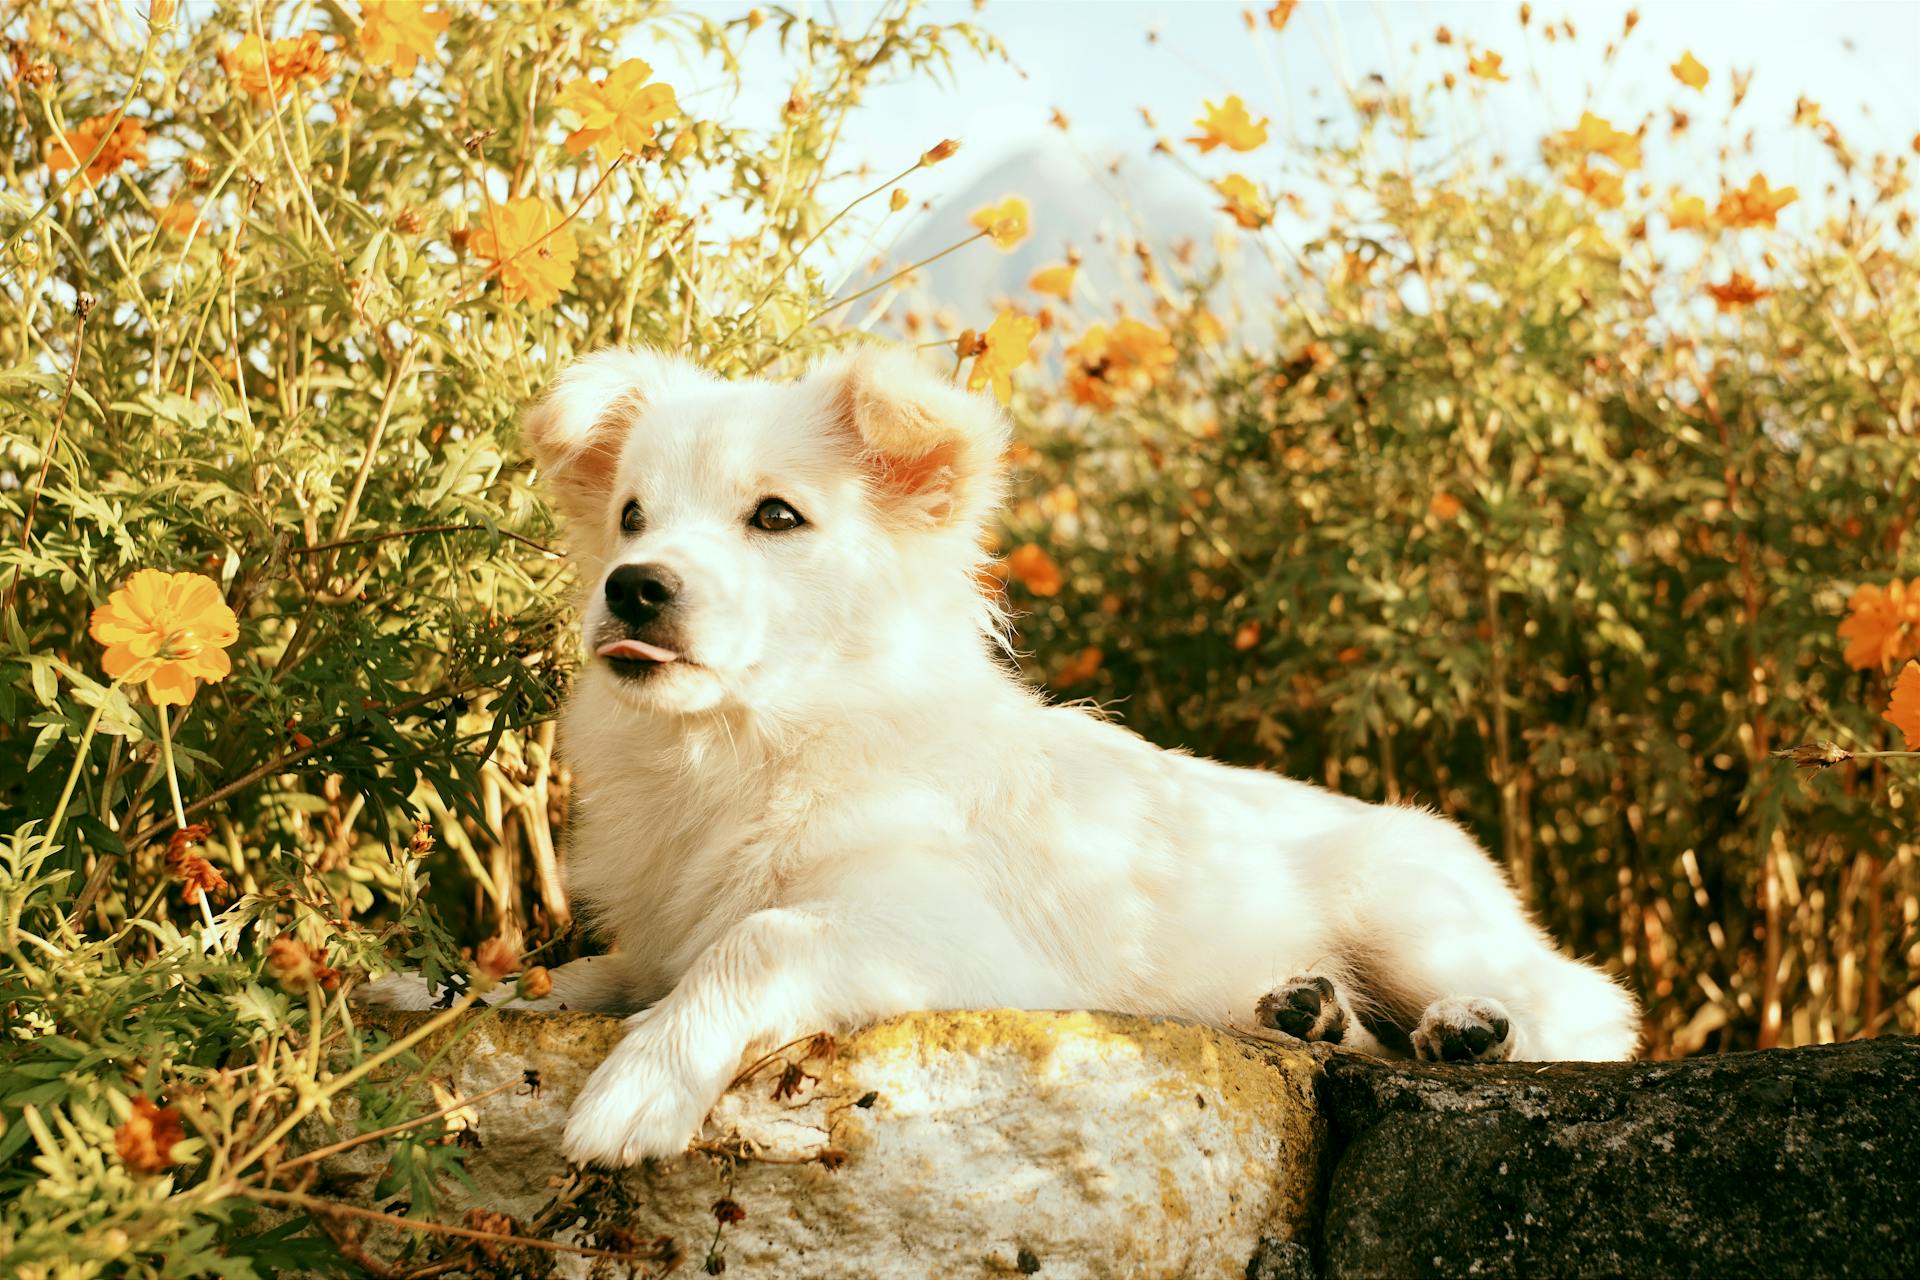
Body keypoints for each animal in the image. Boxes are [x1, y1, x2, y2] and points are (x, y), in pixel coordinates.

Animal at [435, 345, 1635, 1166]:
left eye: (776, 517)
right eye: (631, 517)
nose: (631, 586)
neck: (755, 742)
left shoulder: (957, 944)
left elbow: (762, 937)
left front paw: (641, 1084)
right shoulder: (657, 937)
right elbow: (593, 971)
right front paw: (491, 991)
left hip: (1408, 909)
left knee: (1583, 1005)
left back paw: (1469, 1027)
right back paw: (1307, 1010)